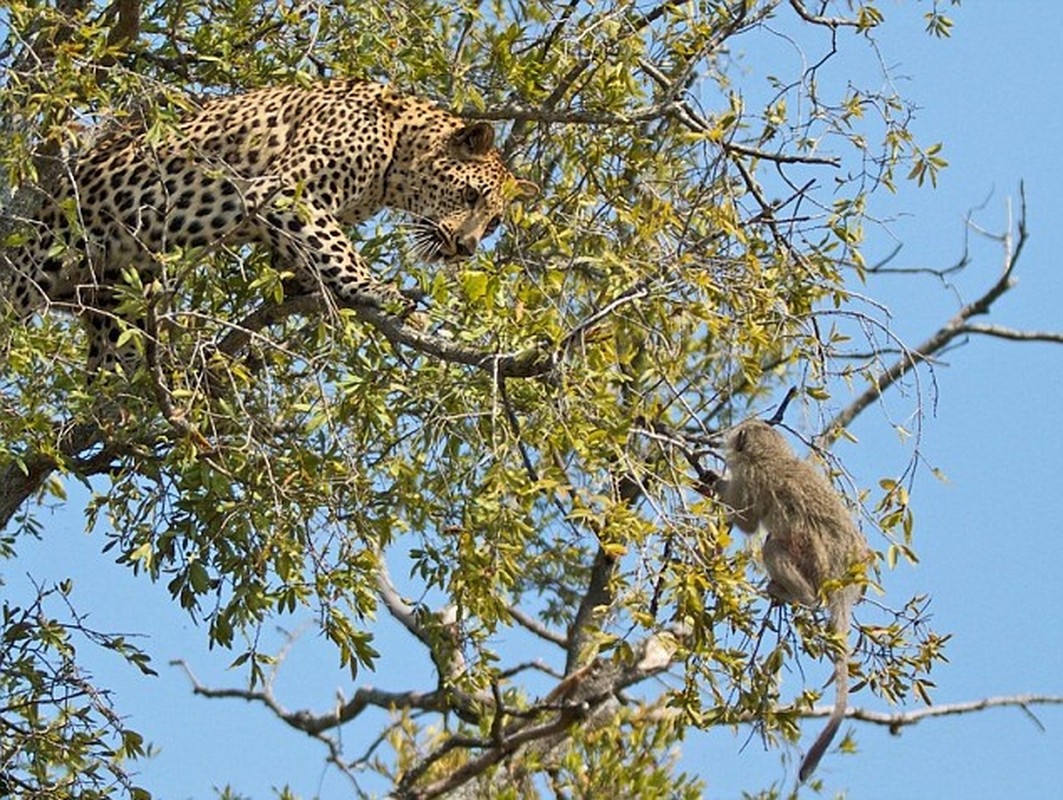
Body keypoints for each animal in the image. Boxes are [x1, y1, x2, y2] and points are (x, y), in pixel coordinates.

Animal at [0, 79, 535, 369]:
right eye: (469, 196)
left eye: (493, 224)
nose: (466, 247)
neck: (398, 149)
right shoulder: (288, 191)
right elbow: (338, 249)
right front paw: (377, 290)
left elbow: (308, 251)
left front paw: (307, 287)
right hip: (35, 267)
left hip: (115, 302)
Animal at [710, 418, 867, 781]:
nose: (727, 436)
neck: (770, 455)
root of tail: (843, 582)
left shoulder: (751, 477)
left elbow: (746, 520)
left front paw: (712, 482)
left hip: (813, 564)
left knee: (773, 546)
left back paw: (802, 597)